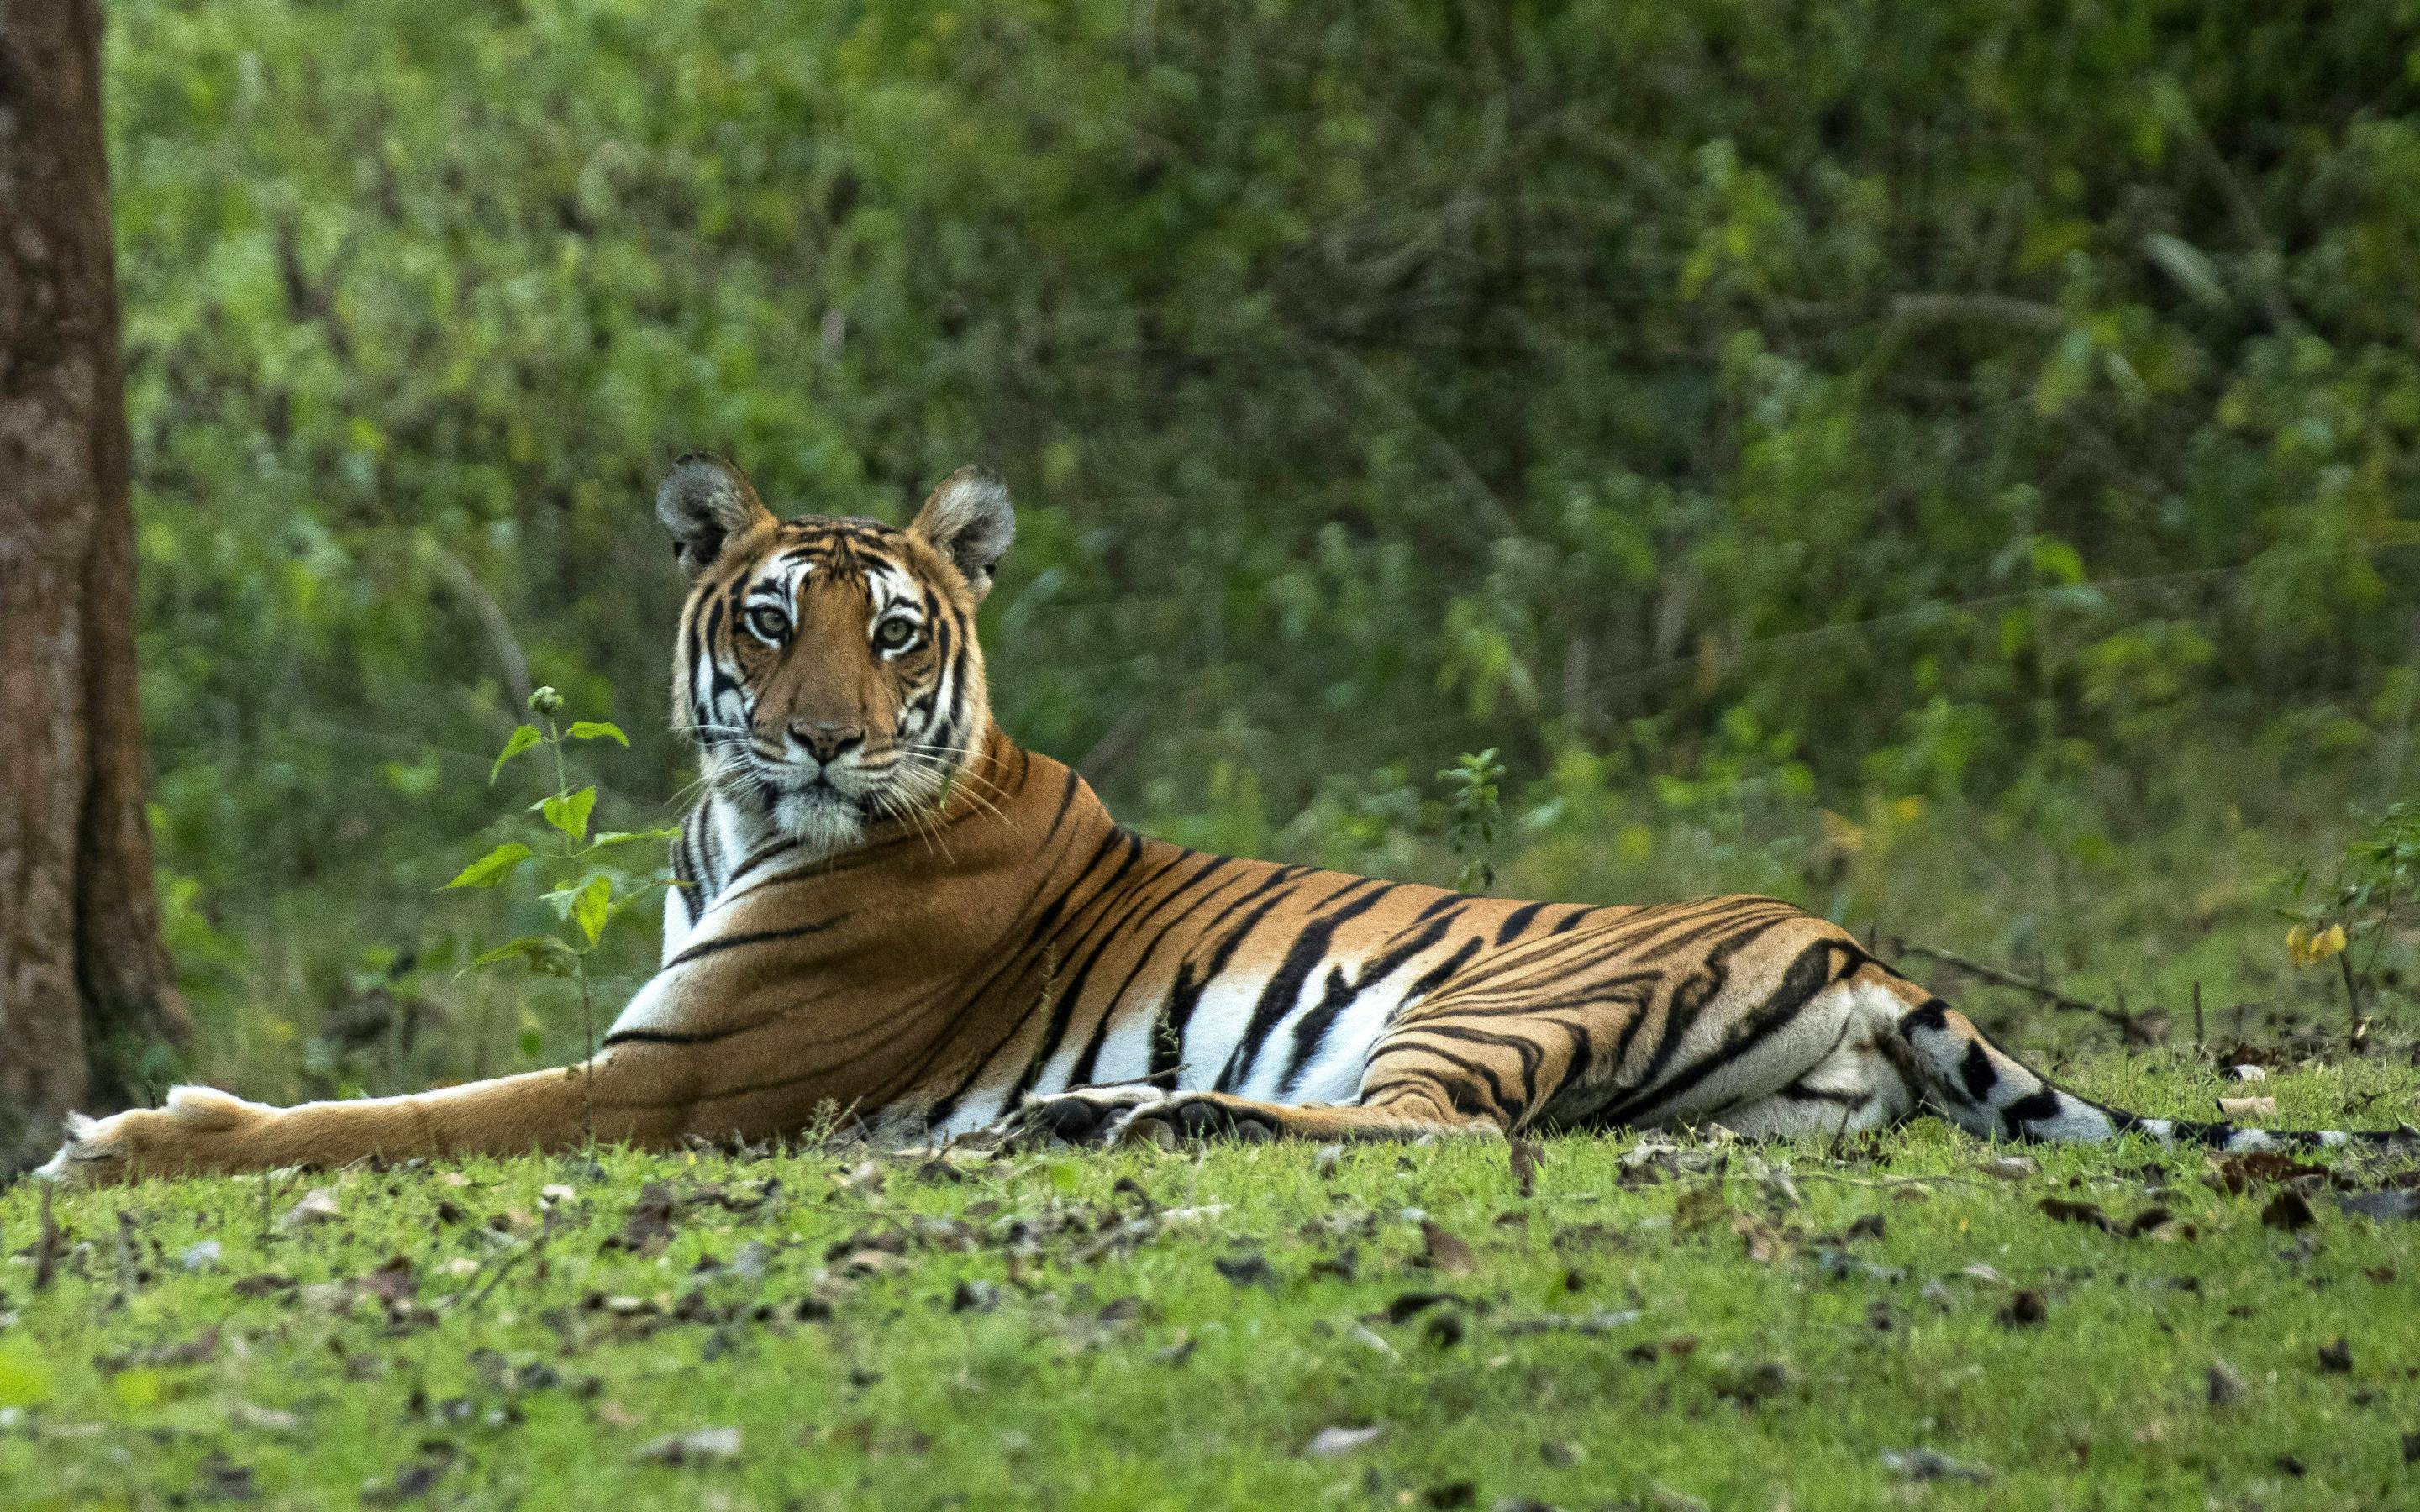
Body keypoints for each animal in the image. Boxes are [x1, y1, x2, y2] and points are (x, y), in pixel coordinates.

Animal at [41, 456, 2415, 1182]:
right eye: (776, 623)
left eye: (895, 636)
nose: (818, 743)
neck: (741, 828)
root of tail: (1848, 945)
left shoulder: (664, 1087)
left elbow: (391, 1115)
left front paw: (124, 1136)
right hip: (1745, 1100)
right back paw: (1093, 1116)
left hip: (1468, 1001)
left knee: (1424, 1139)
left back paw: (1123, 1117)